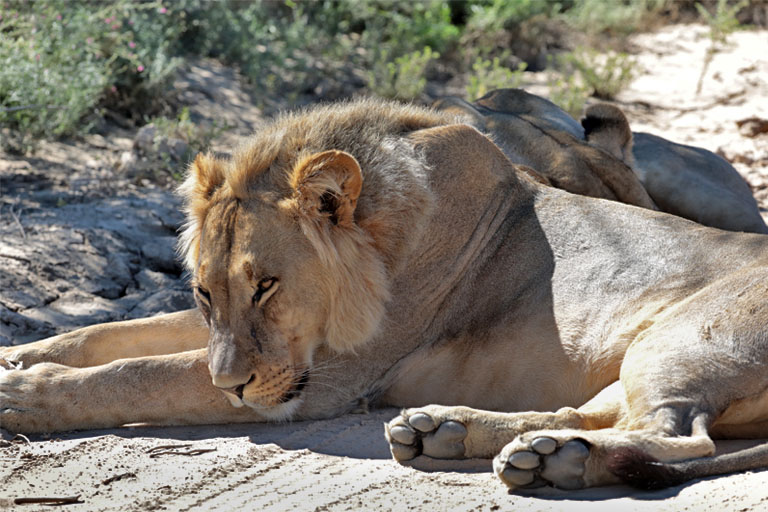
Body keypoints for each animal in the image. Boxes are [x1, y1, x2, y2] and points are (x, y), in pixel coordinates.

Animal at [2, 98, 768, 492]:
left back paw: (556, 461)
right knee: (588, 413)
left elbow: (140, 372)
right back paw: (469, 437)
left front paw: (23, 394)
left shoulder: (324, 380)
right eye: (205, 293)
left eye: (268, 285)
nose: (233, 388)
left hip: (677, 341)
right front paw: (24, 354)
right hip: (635, 359)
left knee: (677, 436)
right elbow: (115, 335)